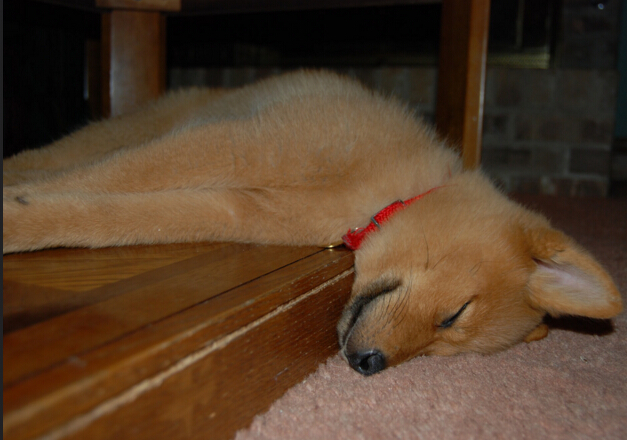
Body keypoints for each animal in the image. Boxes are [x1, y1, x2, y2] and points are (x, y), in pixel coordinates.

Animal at [3, 70, 622, 375]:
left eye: (442, 348)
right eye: (455, 315)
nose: (369, 365)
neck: (385, 193)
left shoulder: (237, 205)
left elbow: (109, 216)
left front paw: (25, 215)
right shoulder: (243, 145)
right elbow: (109, 176)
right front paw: (13, 207)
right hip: (164, 124)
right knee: (66, 154)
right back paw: (20, 165)